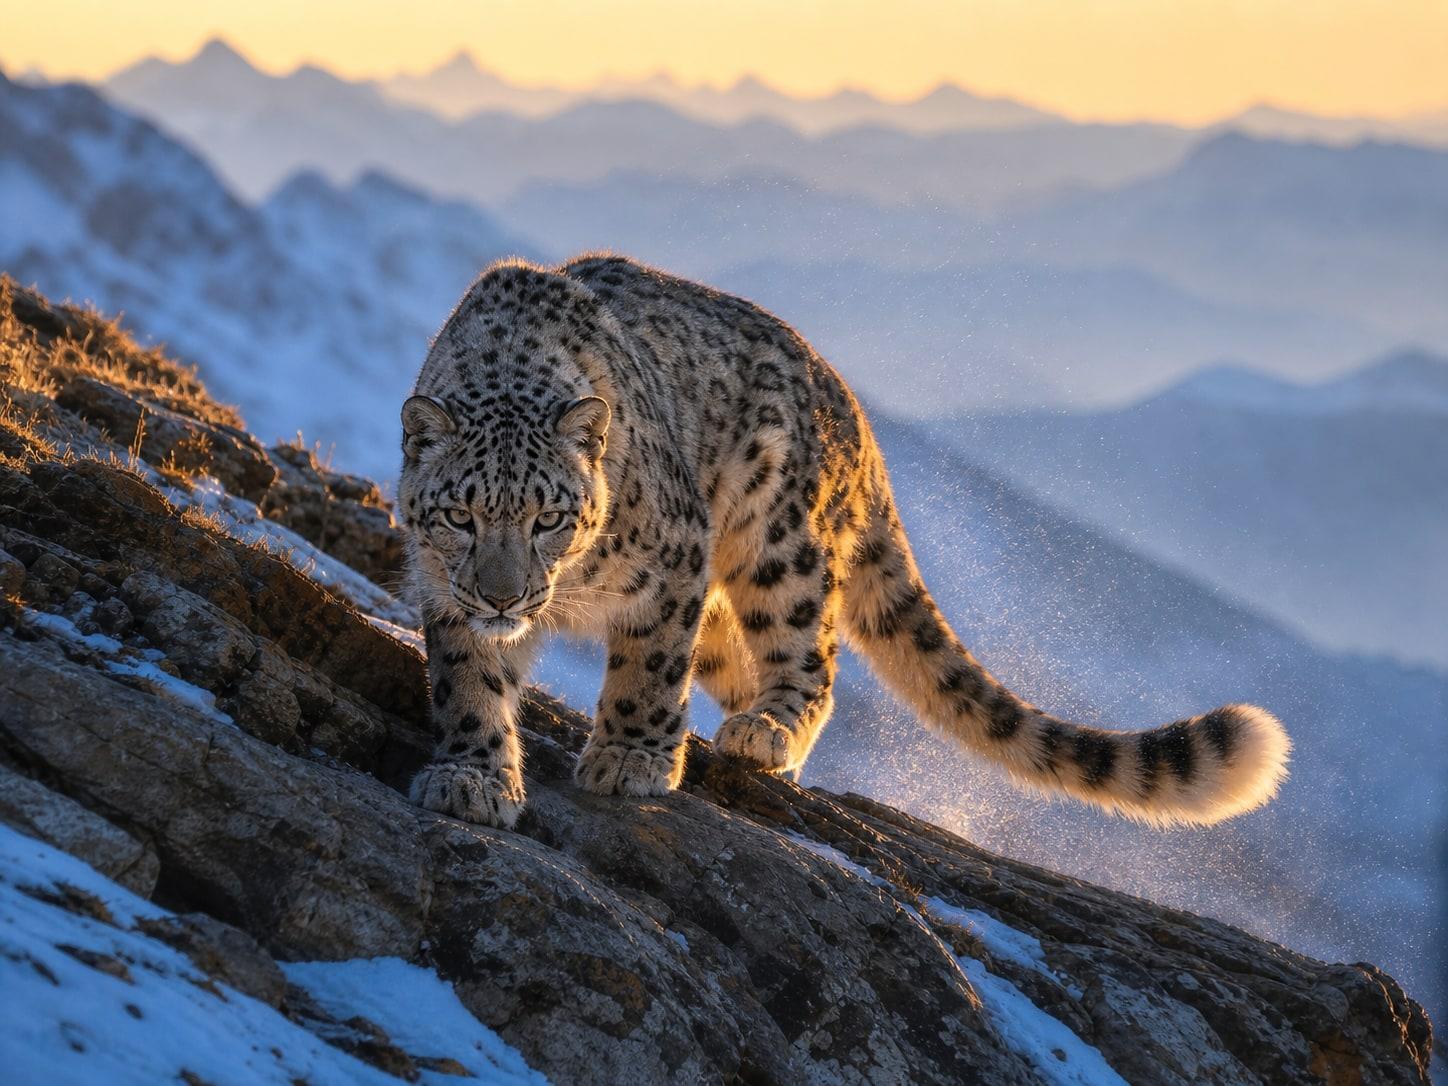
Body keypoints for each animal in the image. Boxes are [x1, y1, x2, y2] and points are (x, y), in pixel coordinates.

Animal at [399, 255, 1290, 830]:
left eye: (549, 517)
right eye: (462, 516)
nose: (505, 595)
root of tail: (855, 414)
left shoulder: (675, 560)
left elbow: (648, 673)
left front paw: (630, 760)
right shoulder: (443, 590)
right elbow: (469, 681)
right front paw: (472, 779)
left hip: (777, 546)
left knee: (811, 658)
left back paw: (764, 733)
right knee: (739, 659)